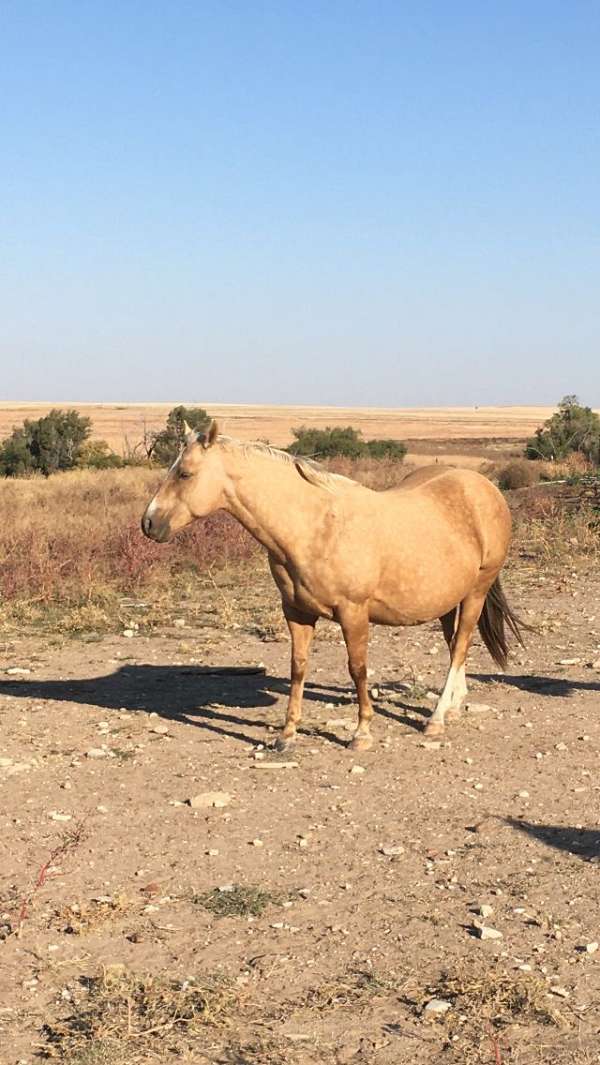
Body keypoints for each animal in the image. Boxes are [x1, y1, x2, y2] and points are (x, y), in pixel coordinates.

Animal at [139, 419, 522, 754]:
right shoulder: (296, 613)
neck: (313, 528)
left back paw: (437, 718)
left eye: (185, 473)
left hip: (476, 592)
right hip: (447, 599)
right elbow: (298, 668)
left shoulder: (353, 613)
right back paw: (454, 705)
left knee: (460, 646)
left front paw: (361, 733)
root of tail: (483, 486)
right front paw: (287, 734)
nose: (149, 523)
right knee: (456, 644)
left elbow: (358, 669)